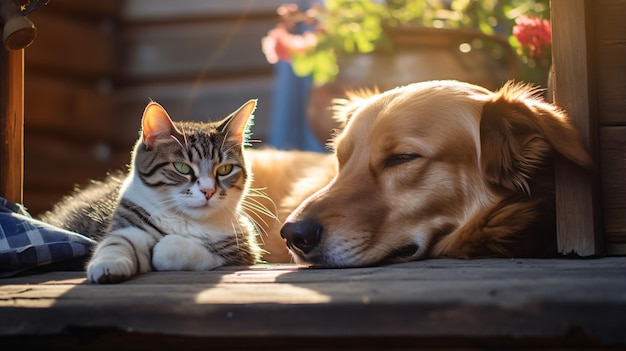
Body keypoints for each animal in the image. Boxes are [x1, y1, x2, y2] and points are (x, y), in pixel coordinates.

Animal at [40, 98, 260, 284]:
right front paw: (108, 264)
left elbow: (172, 250)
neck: (183, 220)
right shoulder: (129, 223)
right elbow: (116, 243)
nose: (208, 191)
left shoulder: (241, 247)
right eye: (182, 167)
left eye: (224, 169)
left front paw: (163, 248)